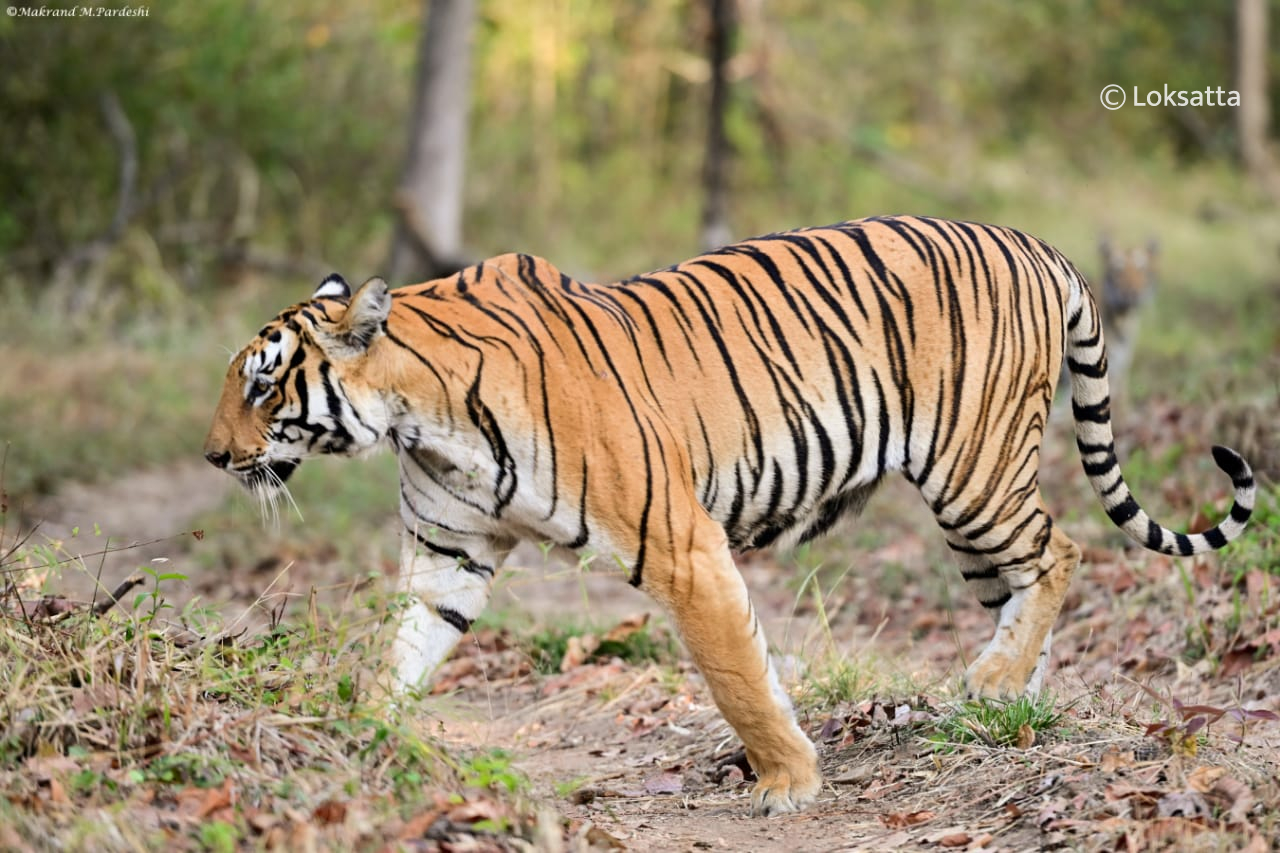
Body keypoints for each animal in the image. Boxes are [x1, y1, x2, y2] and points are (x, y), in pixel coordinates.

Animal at [204, 212, 1254, 809]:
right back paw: (996, 696)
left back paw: (994, 684)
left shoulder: (678, 542)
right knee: (1022, 582)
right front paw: (358, 742)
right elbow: (404, 651)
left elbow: (738, 674)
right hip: (972, 503)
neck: (418, 417)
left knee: (1064, 551)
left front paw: (788, 783)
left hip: (975, 466)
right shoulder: (447, 553)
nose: (214, 455)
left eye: (262, 384)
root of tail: (1041, 245)